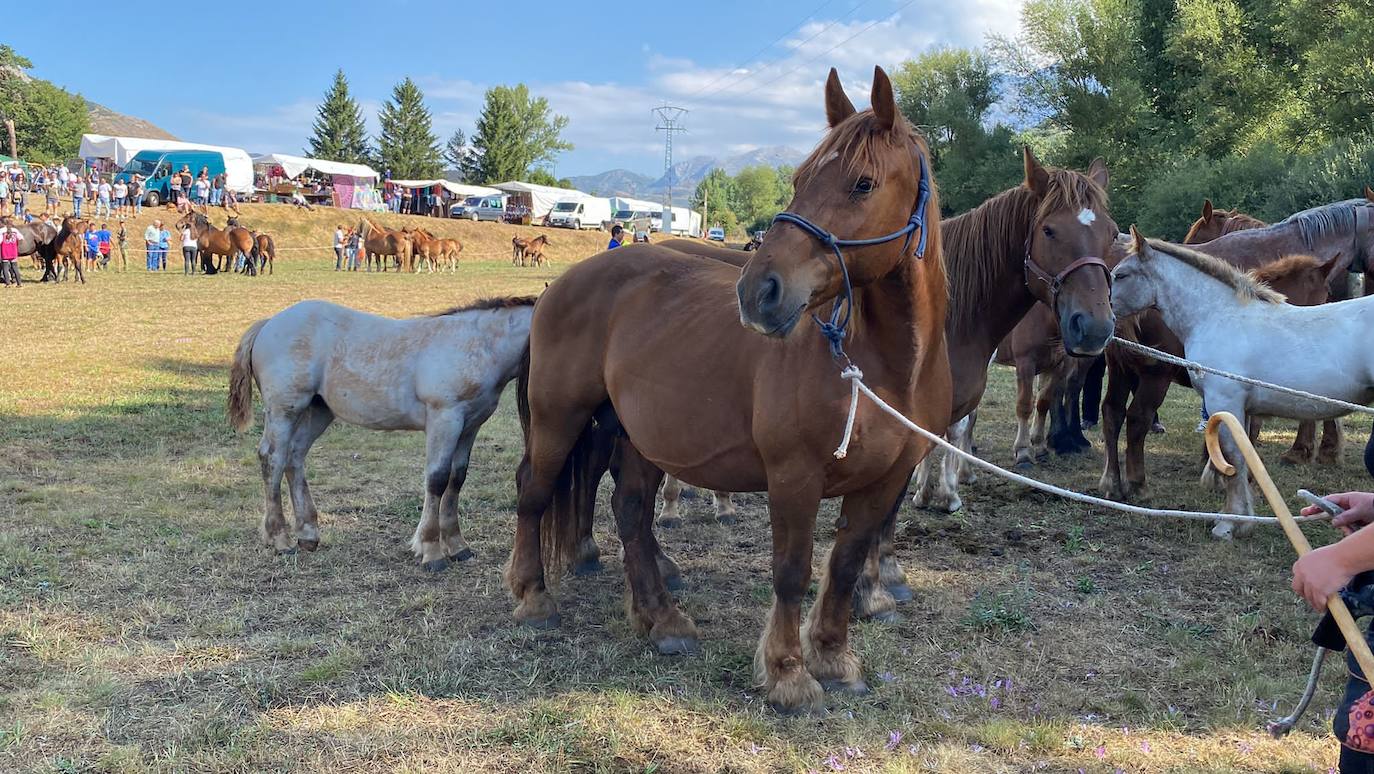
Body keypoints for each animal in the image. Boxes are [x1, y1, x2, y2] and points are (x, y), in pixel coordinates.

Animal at [228, 296, 533, 569]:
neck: (478, 345)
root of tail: (268, 323)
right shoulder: (445, 418)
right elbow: (437, 479)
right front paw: (431, 551)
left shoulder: (470, 425)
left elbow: (457, 479)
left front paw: (458, 546)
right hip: (285, 410)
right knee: (273, 458)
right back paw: (280, 539)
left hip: (318, 410)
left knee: (295, 456)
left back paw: (308, 534)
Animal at [511, 68, 950, 714]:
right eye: (798, 180)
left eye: (863, 184)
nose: (759, 292)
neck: (883, 367)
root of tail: (559, 285)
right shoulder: (793, 477)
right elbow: (792, 571)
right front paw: (790, 674)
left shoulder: (884, 480)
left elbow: (845, 565)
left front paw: (834, 658)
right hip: (558, 419)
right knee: (535, 493)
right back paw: (534, 599)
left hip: (638, 434)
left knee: (631, 512)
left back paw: (663, 621)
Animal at [906, 150, 1121, 514]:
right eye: (1048, 230)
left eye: (1113, 232)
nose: (1095, 328)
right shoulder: (1023, 363)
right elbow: (1022, 404)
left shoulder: (1056, 364)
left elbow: (1042, 401)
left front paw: (939, 489)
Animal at [1110, 226, 1374, 536]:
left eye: (1121, 275)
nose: (1102, 317)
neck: (1217, 316)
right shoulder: (1242, 410)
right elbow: (1245, 458)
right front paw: (1244, 520)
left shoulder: (1225, 402)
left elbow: (1233, 458)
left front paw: (1228, 524)